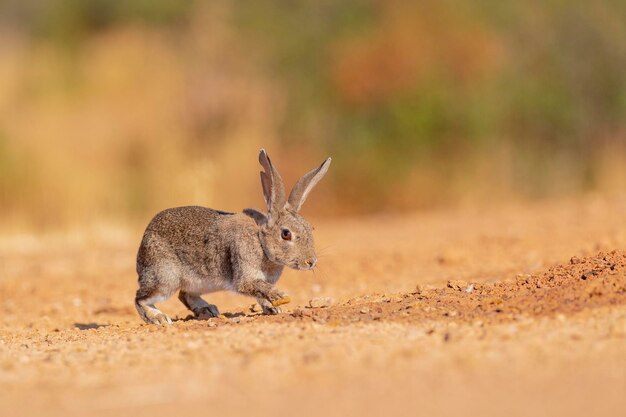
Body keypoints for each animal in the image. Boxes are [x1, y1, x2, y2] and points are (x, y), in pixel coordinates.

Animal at [133, 148, 330, 324]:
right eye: (286, 234)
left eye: (310, 228)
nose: (311, 262)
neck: (261, 242)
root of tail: (144, 239)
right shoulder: (245, 276)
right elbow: (258, 287)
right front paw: (279, 295)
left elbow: (261, 294)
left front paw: (273, 308)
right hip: (165, 277)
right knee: (140, 298)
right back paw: (158, 318)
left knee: (184, 294)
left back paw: (207, 310)